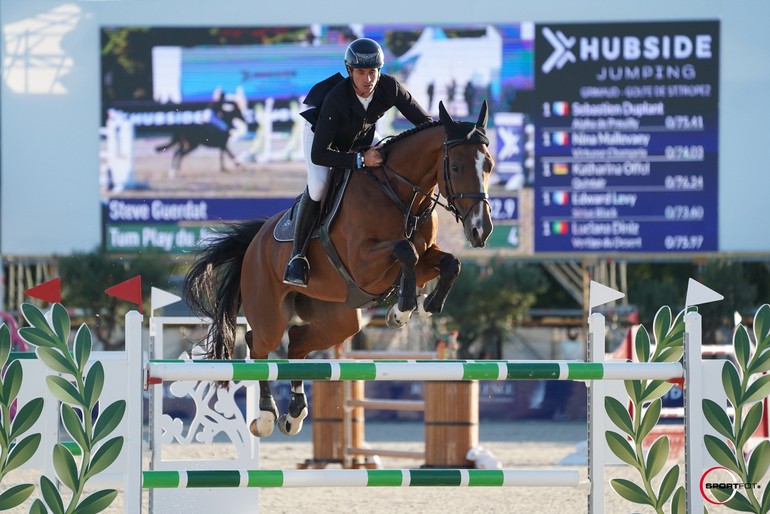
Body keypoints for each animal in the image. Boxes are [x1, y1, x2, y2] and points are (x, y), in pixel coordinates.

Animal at [182, 99, 492, 436]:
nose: (481, 230)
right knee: (260, 345)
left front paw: (424, 304)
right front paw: (402, 310)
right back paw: (265, 417)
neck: (398, 194)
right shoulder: (364, 265)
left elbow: (450, 263)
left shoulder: (422, 259)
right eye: (456, 167)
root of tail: (255, 241)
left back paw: (294, 413)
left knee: (297, 342)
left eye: (488, 166)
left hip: (339, 319)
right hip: (269, 314)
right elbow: (405, 250)